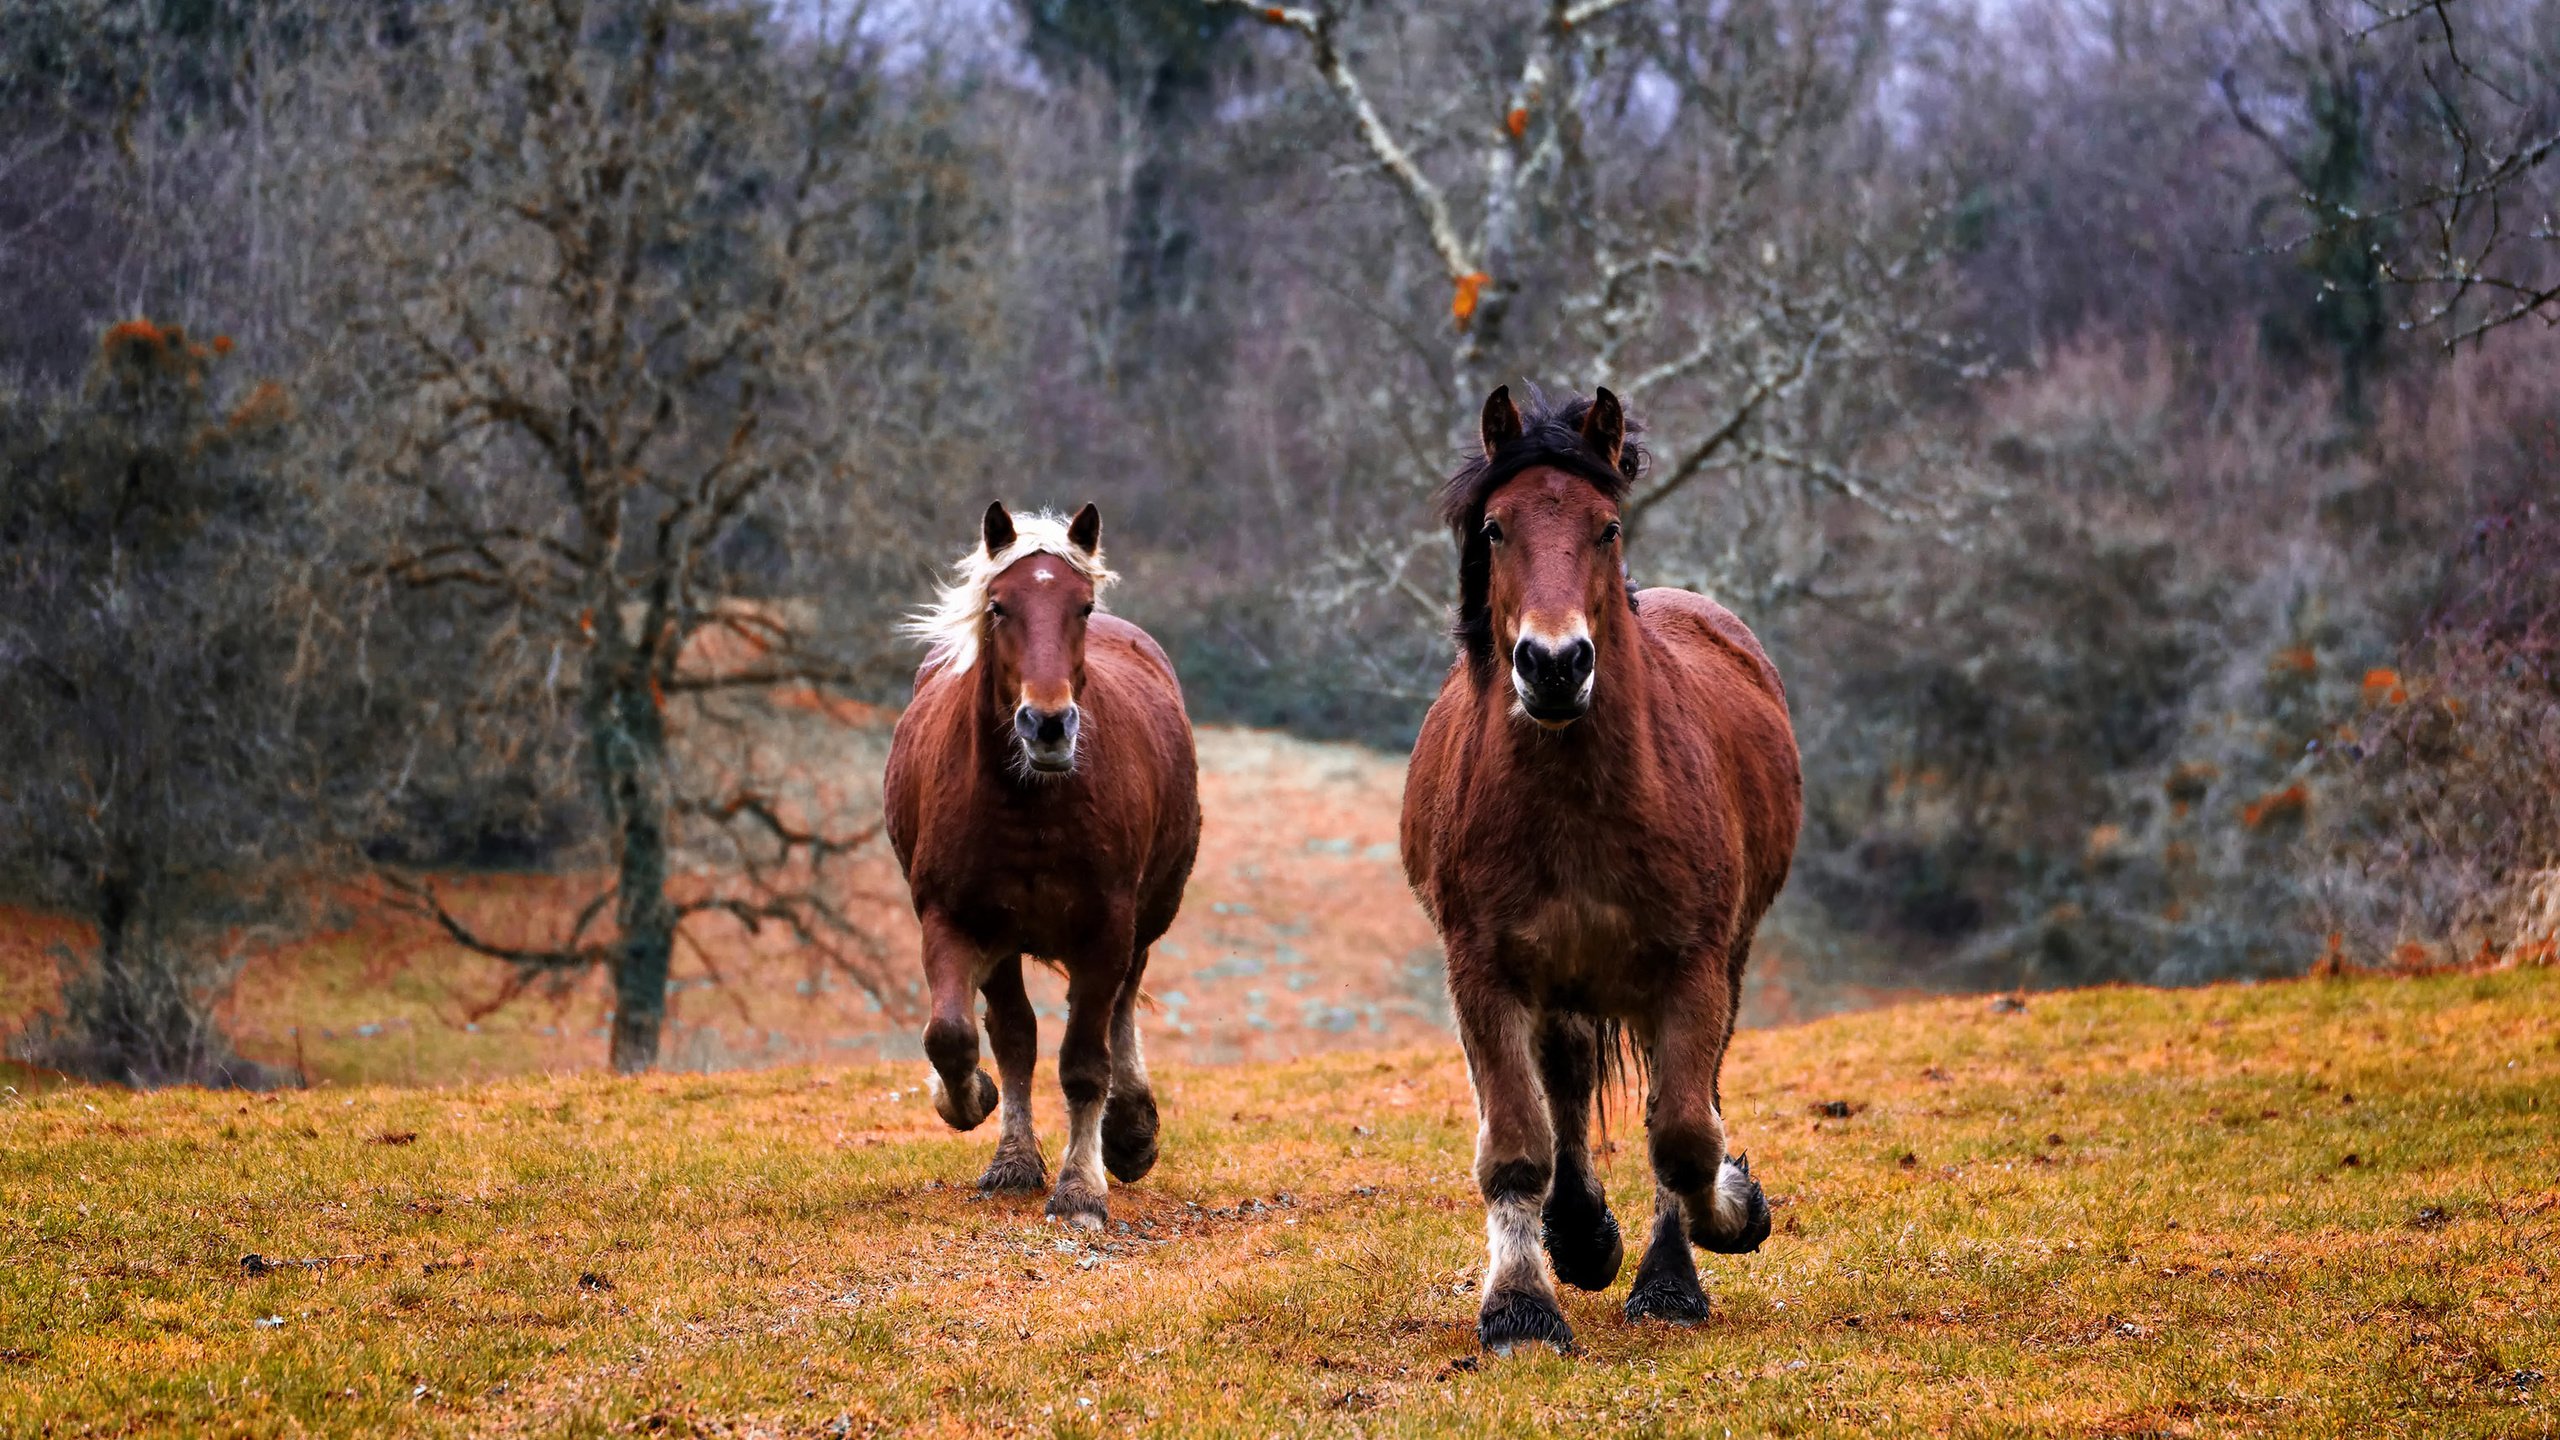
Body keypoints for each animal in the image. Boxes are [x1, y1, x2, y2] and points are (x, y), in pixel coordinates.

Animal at [885, 502, 1203, 1219]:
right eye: (999, 606)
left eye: (1081, 607)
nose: (1049, 725)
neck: (1030, 806)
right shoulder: (956, 921)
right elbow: (959, 1036)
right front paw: (975, 1110)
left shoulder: (1106, 929)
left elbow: (1084, 1061)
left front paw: (1082, 1187)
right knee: (1015, 1035)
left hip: (1144, 920)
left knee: (1121, 1008)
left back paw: (1130, 1132)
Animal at [1402, 384, 1802, 1342]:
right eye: (1496, 528)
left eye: (1607, 526)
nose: (1554, 665)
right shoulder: (1485, 972)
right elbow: (1517, 1144)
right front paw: (1522, 1306)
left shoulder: (1691, 967)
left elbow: (1685, 1135)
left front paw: (1725, 1221)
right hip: (1563, 984)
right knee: (1569, 1089)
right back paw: (1580, 1235)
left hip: (1714, 964)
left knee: (1674, 1100)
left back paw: (1660, 1268)